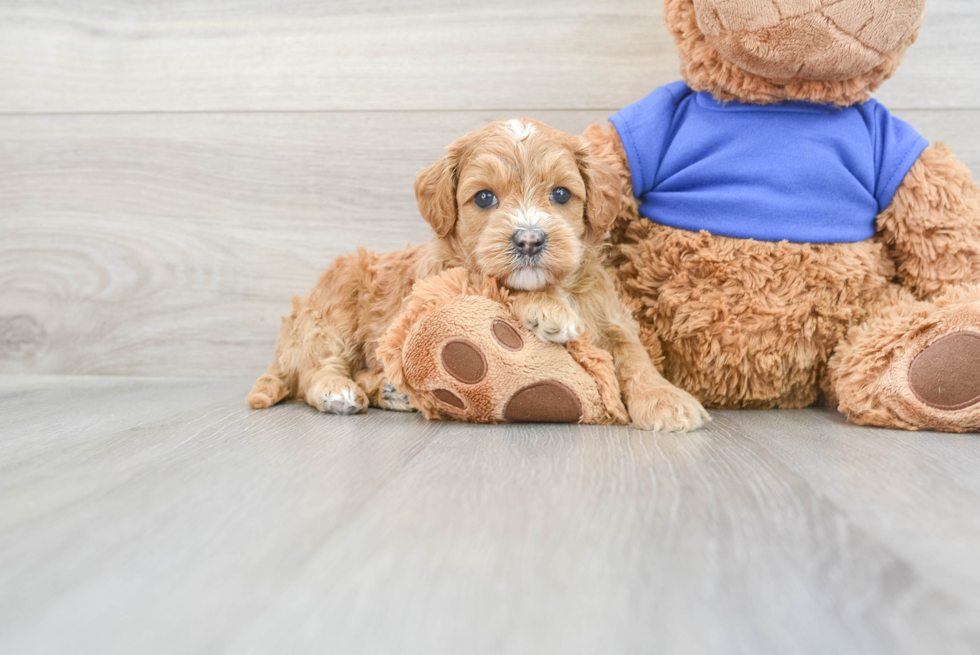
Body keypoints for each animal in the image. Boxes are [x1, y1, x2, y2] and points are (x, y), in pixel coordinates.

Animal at [244, 120, 704, 434]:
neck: (559, 284)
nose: (530, 240)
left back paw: (392, 392)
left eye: (560, 194)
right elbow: (497, 284)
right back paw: (336, 392)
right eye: (484, 198)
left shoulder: (611, 315)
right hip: (333, 312)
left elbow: (635, 355)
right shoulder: (446, 278)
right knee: (313, 370)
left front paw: (665, 399)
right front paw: (549, 311)